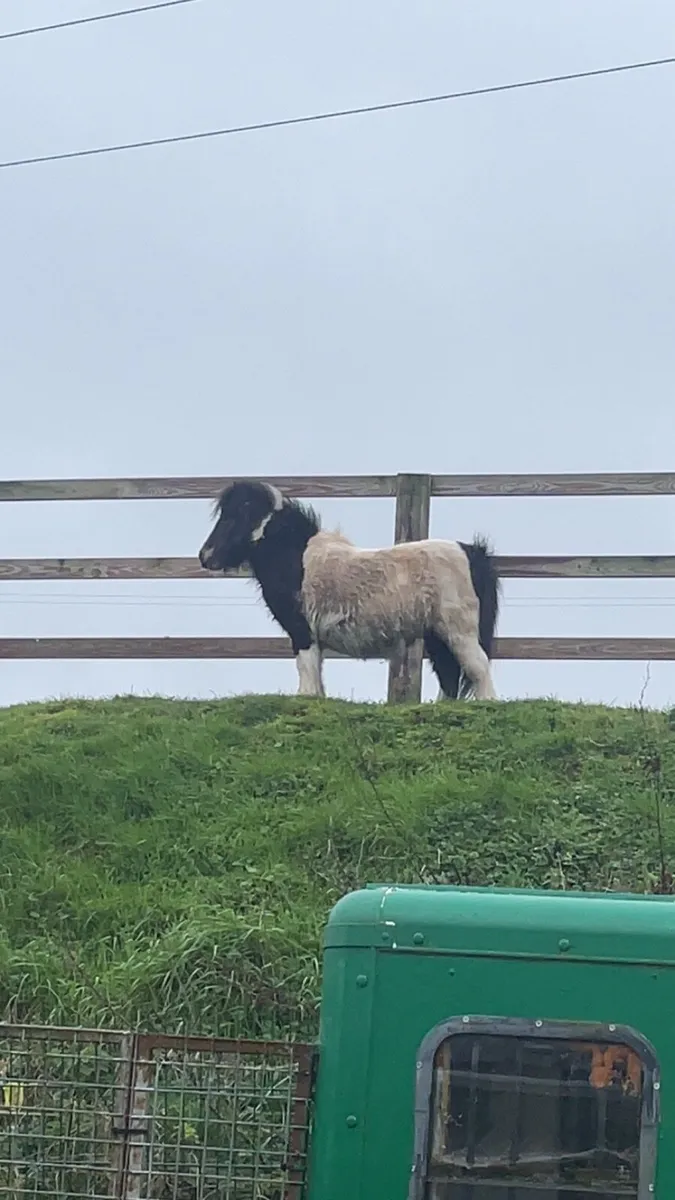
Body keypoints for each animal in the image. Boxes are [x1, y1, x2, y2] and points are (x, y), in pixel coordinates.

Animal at [198, 480, 500, 701]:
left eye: (235, 516)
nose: (205, 556)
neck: (295, 557)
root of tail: (472, 551)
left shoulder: (302, 632)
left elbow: (306, 673)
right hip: (437, 636)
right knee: (450, 678)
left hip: (459, 631)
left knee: (479, 669)